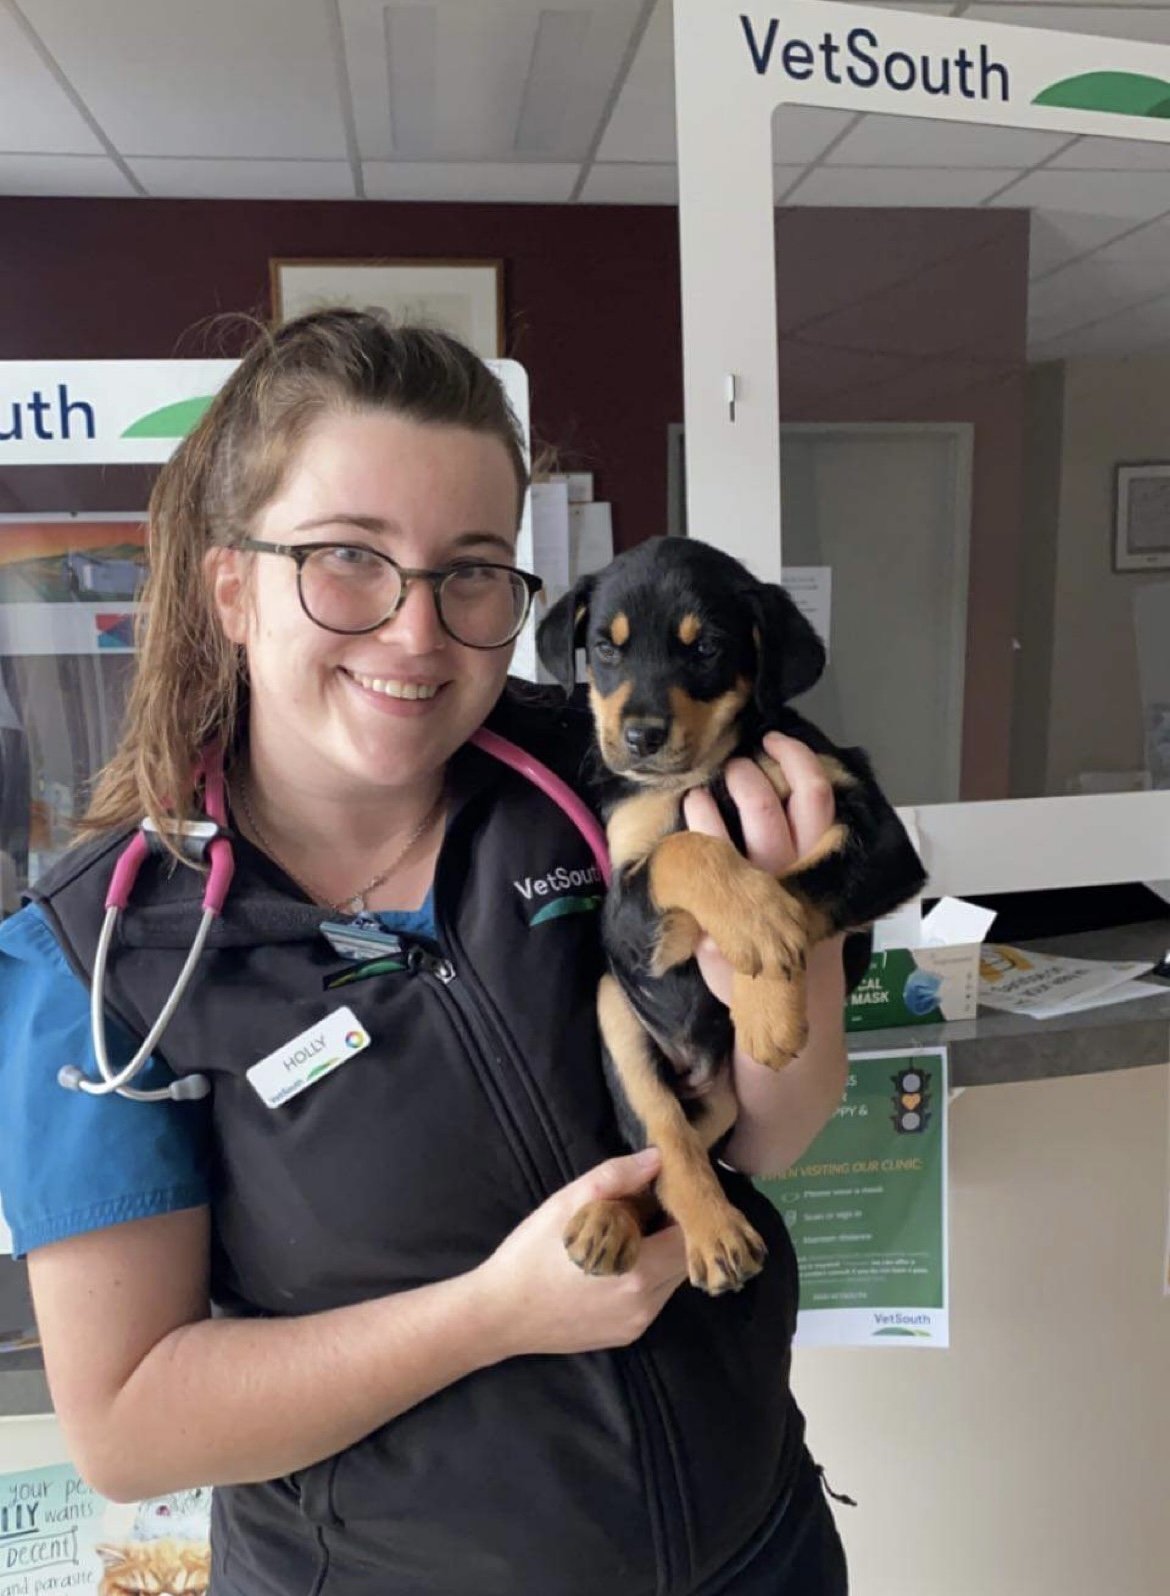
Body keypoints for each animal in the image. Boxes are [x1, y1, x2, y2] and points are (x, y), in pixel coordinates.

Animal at [533, 536, 925, 1295]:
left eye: (707, 647)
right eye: (605, 648)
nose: (639, 737)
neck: (710, 765)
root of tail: (697, 1071)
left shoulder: (881, 838)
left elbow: (792, 887)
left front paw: (766, 1002)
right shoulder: (625, 909)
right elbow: (684, 845)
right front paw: (757, 925)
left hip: (721, 1097)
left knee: (670, 1154)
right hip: (613, 1008)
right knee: (665, 1144)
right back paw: (690, 1232)